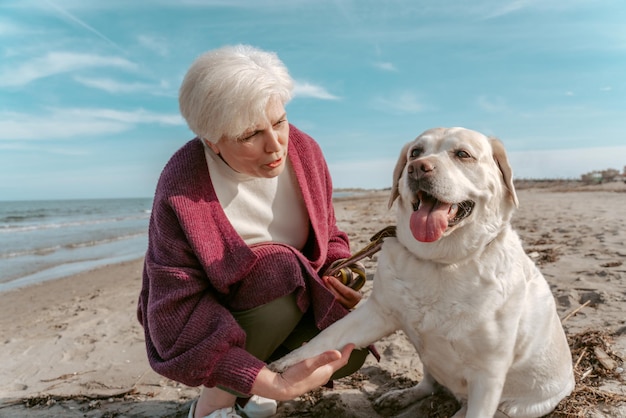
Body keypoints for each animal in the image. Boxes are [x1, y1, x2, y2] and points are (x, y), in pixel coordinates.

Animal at [270, 127, 572, 418]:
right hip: (429, 361)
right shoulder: (377, 312)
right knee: (429, 384)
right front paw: (287, 364)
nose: (417, 168)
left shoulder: (489, 374)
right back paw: (400, 397)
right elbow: (327, 336)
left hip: (516, 406)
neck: (441, 260)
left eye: (463, 154)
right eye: (415, 152)